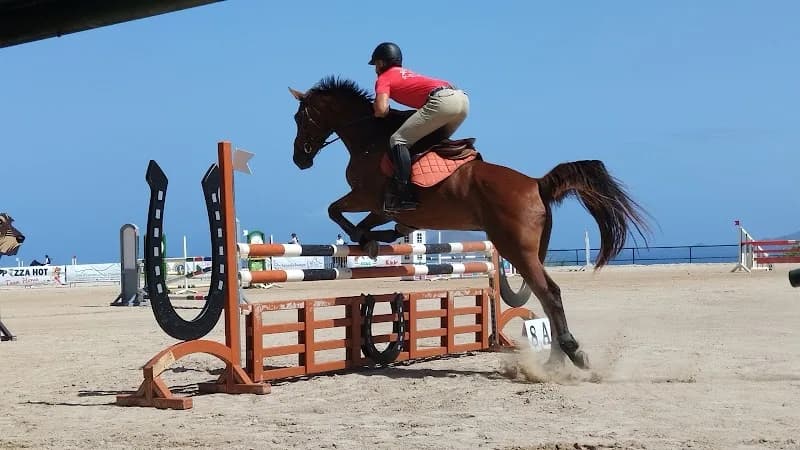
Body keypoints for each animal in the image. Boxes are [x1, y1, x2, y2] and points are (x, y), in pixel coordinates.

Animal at [287, 76, 651, 370]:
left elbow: (335, 210)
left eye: (300, 118)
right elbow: (365, 220)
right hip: (529, 250)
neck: (369, 140)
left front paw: (370, 242)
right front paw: (379, 237)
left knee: (549, 293)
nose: (299, 159)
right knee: (550, 295)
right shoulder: (385, 209)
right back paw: (558, 358)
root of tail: (537, 183)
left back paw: (568, 356)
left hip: (516, 248)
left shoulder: (368, 197)